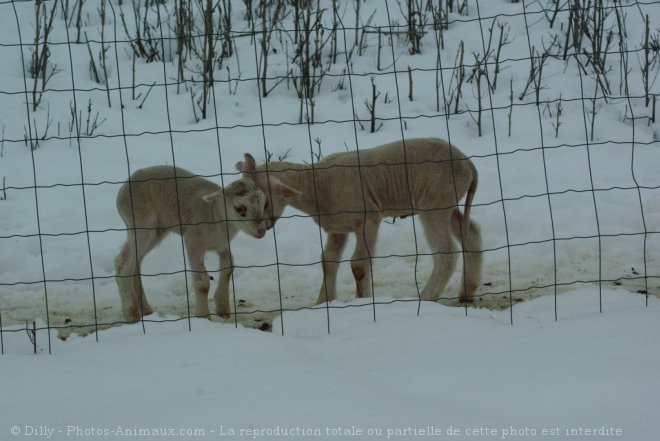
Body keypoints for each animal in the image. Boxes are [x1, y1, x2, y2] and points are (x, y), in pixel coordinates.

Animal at [240, 138, 482, 306]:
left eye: (264, 201)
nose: (261, 228)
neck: (316, 183)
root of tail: (468, 163)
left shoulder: (369, 219)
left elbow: (359, 265)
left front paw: (363, 300)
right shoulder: (338, 228)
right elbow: (328, 261)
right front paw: (324, 302)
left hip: (435, 203)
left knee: (446, 252)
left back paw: (426, 296)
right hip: (447, 202)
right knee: (471, 233)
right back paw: (467, 290)